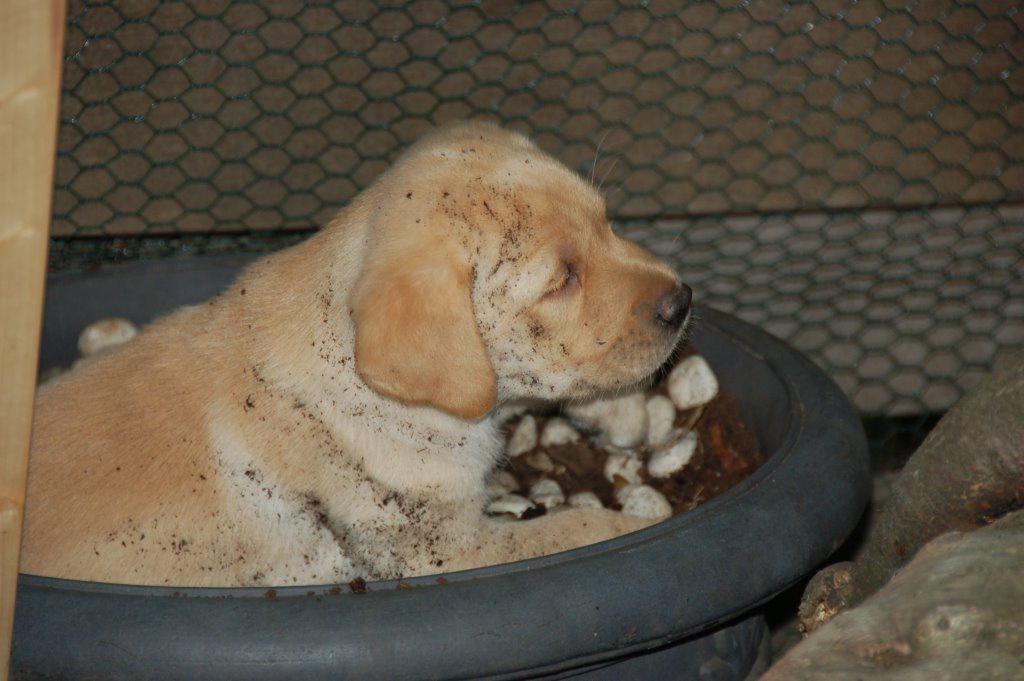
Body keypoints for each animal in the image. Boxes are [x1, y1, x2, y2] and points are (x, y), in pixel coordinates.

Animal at [22, 122, 692, 586]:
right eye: (561, 281)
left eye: (608, 224)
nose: (683, 300)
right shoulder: (445, 550)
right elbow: (570, 530)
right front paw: (633, 525)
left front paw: (623, 410)